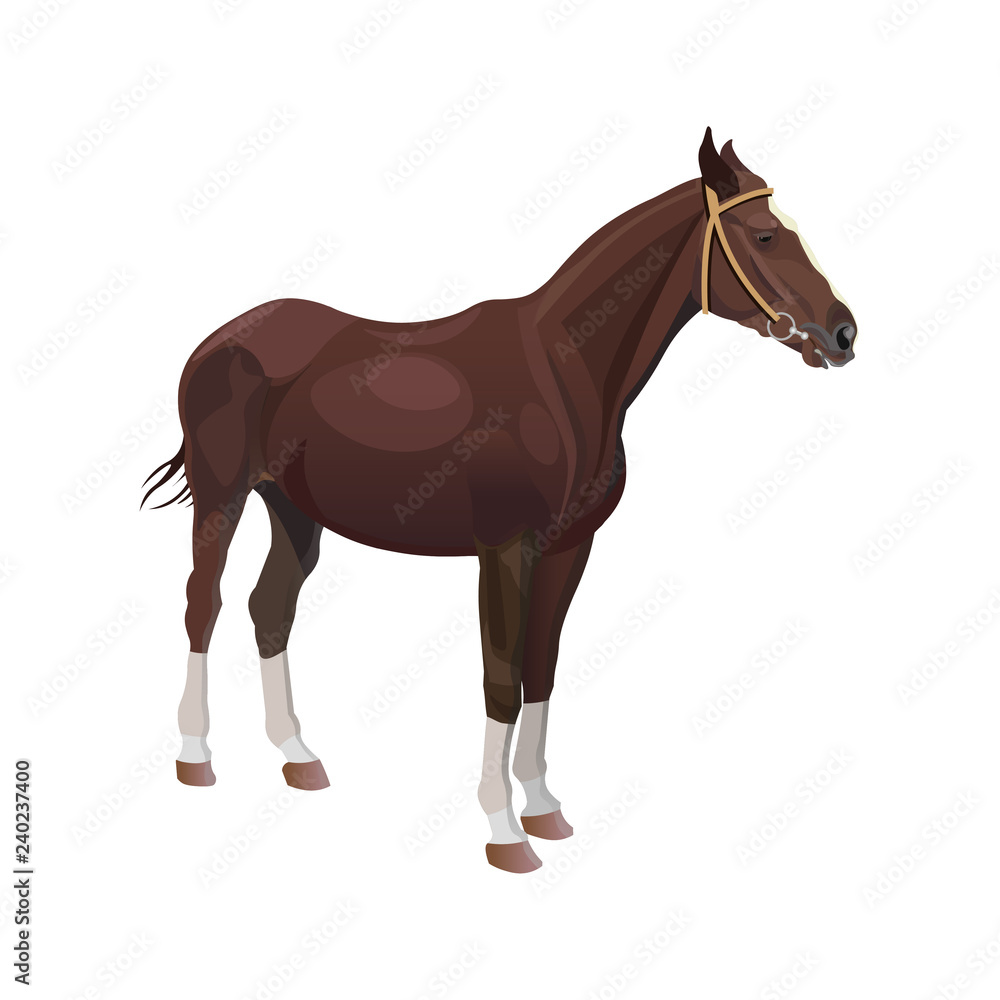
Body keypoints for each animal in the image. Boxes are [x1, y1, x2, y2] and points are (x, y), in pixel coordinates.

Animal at [143, 127, 856, 873]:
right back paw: (195, 757)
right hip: (223, 497)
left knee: (269, 608)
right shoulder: (505, 549)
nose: (842, 334)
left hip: (293, 510)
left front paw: (544, 810)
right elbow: (501, 677)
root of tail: (219, 340)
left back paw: (298, 756)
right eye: (766, 235)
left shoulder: (570, 548)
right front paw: (504, 832)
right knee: (204, 603)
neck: (565, 372)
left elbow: (541, 668)